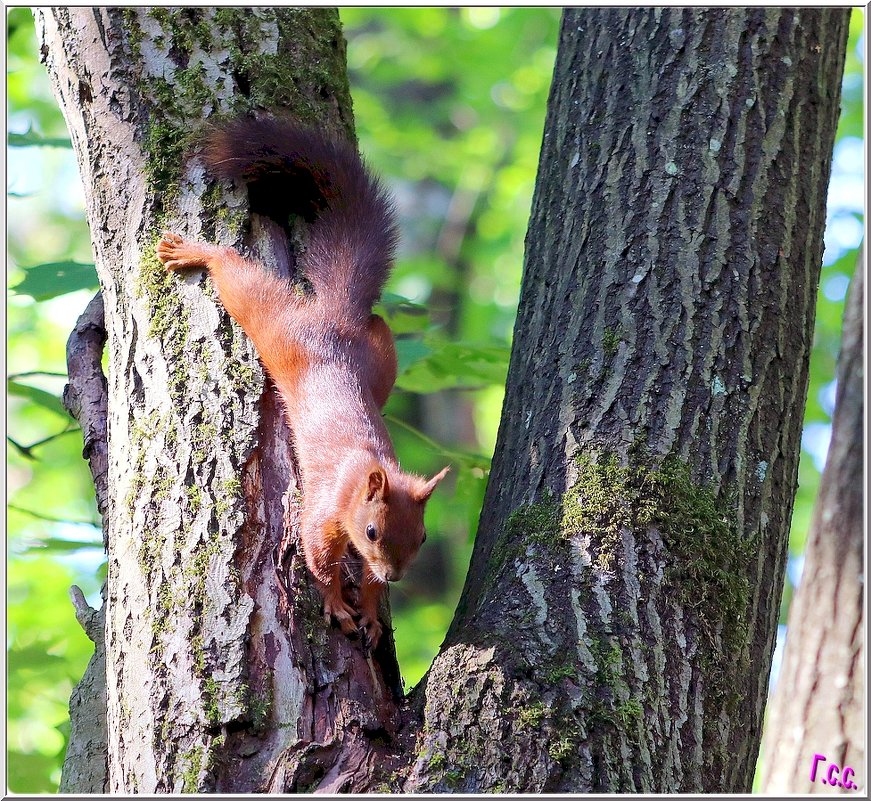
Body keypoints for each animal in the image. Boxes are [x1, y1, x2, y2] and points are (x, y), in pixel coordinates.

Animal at [158, 117, 454, 648]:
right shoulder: (323, 511)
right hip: (275, 326)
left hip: (382, 357)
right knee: (237, 278)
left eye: (421, 536)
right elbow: (318, 561)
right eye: (373, 532)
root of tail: (334, 319)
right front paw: (337, 605)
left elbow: (366, 583)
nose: (397, 575)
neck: (361, 475)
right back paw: (197, 252)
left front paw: (372, 614)